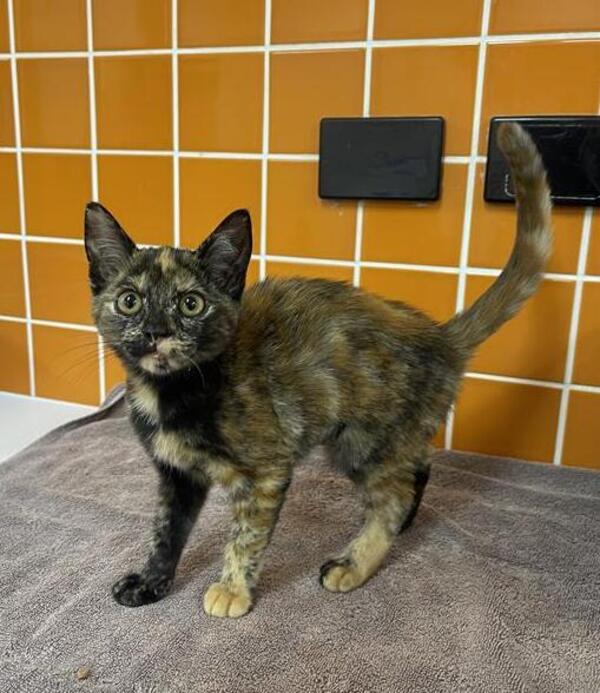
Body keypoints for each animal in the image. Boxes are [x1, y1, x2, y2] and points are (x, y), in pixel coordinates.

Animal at [84, 123, 551, 618]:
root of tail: (440, 336)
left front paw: (232, 589)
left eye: (191, 304)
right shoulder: (177, 476)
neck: (174, 390)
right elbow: (166, 531)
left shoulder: (266, 472)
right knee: (417, 466)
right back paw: (403, 524)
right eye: (129, 300)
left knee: (391, 497)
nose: (156, 331)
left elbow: (244, 536)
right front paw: (151, 581)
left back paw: (354, 563)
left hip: (362, 440)